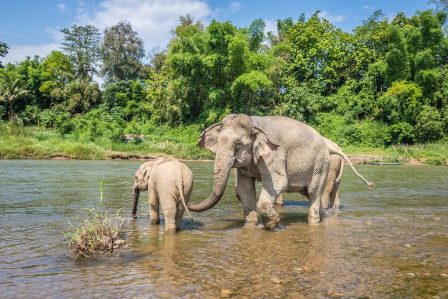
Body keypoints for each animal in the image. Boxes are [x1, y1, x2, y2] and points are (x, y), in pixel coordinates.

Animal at [188, 115, 372, 230]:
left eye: (238, 145)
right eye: (218, 143)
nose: (189, 205)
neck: (253, 122)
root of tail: (330, 145)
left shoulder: (275, 154)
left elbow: (278, 182)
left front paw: (273, 224)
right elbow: (244, 188)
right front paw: (251, 226)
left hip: (321, 164)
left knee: (315, 193)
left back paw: (314, 222)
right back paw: (326, 216)